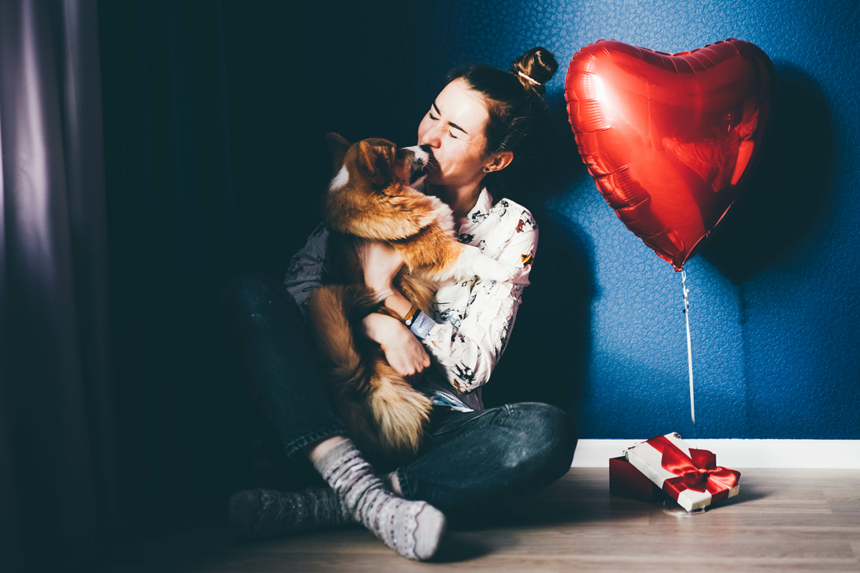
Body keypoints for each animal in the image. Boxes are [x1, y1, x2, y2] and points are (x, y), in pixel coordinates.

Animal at [308, 135, 512, 470]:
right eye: (397, 153)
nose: (427, 147)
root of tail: (357, 380)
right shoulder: (437, 249)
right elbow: (472, 255)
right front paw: (505, 269)